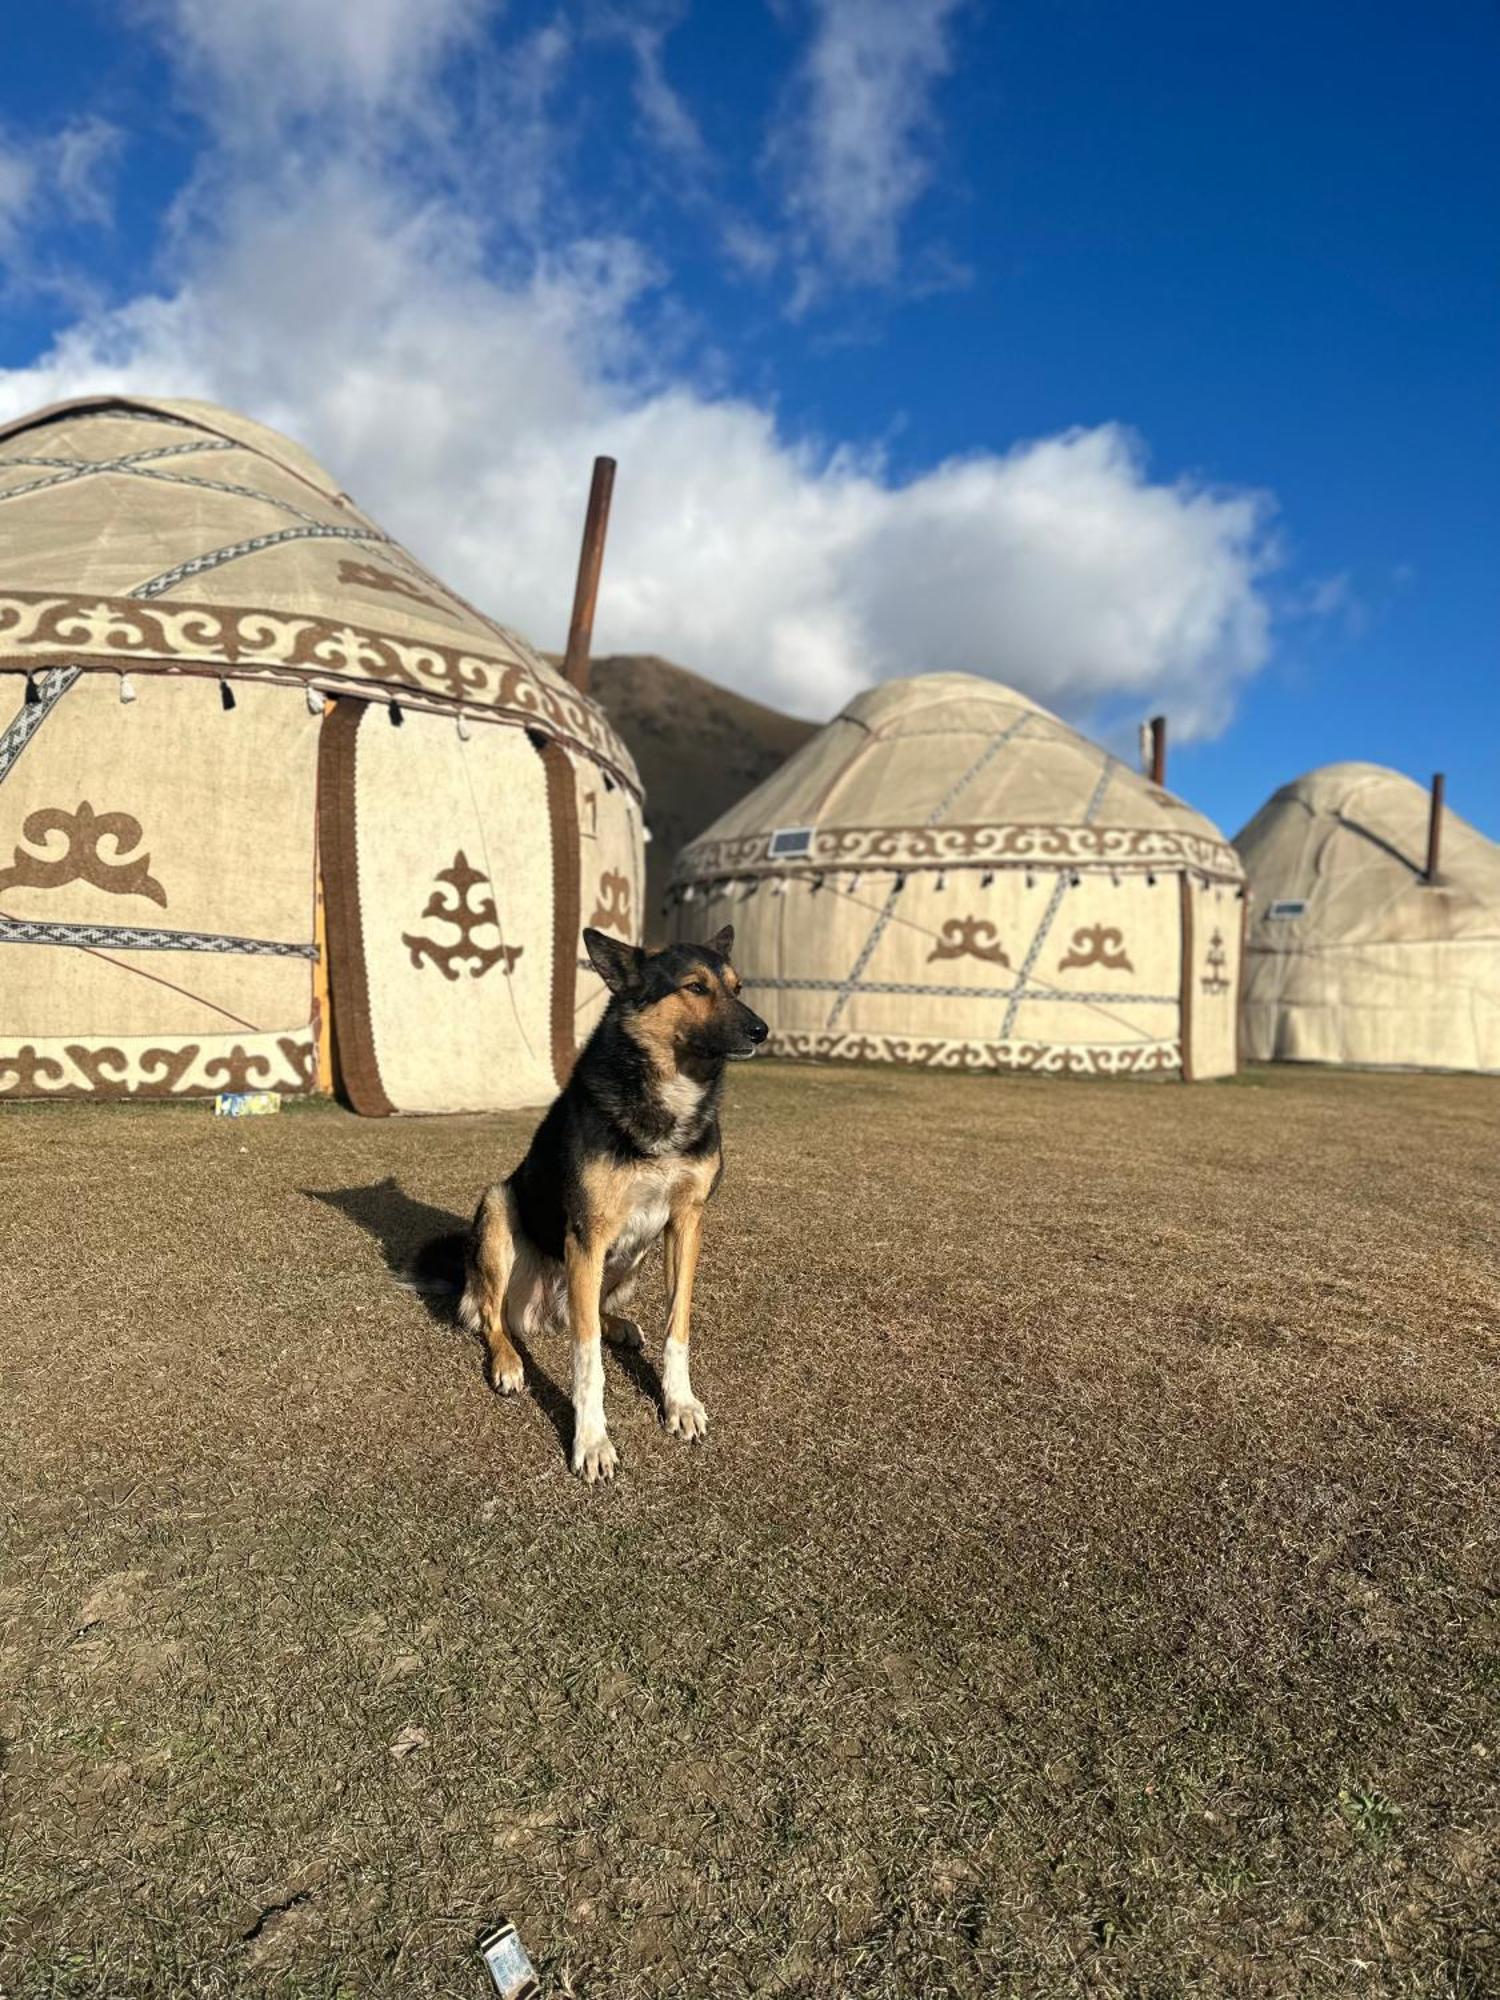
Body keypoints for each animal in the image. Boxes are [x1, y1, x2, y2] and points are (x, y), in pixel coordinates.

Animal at [456, 928, 764, 1480]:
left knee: (592, 1312)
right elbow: (586, 1362)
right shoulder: (587, 1234)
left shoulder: (686, 1223)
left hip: (631, 1258)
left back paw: (618, 1326)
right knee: (494, 1316)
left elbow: (677, 1327)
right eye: (695, 987)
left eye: (737, 986)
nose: (761, 1031)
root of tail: (545, 1312)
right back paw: (509, 1361)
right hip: (498, 1211)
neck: (671, 1092)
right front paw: (592, 1441)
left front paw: (679, 1404)